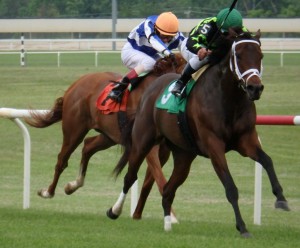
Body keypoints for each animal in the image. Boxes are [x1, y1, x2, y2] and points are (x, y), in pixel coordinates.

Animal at [24, 53, 186, 220]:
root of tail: (77, 83)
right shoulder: (147, 147)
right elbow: (158, 176)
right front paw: (172, 216)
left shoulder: (163, 151)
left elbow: (150, 180)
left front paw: (138, 214)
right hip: (74, 130)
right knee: (62, 159)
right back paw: (48, 192)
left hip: (109, 135)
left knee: (88, 146)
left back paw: (73, 185)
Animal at [107, 28, 290, 237]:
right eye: (238, 55)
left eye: (260, 56)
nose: (255, 88)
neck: (229, 100)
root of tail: (150, 89)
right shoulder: (214, 145)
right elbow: (230, 187)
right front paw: (242, 227)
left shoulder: (246, 141)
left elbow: (267, 161)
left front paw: (281, 198)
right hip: (142, 142)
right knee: (130, 177)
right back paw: (114, 210)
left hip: (184, 155)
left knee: (168, 190)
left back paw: (168, 224)